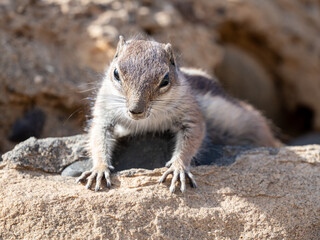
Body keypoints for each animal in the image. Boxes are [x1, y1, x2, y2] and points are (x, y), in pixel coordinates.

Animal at [75, 36, 280, 193]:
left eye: (165, 80)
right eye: (116, 73)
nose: (135, 110)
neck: (148, 120)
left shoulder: (191, 114)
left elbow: (192, 139)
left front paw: (178, 167)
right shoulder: (103, 113)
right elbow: (98, 136)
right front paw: (99, 169)